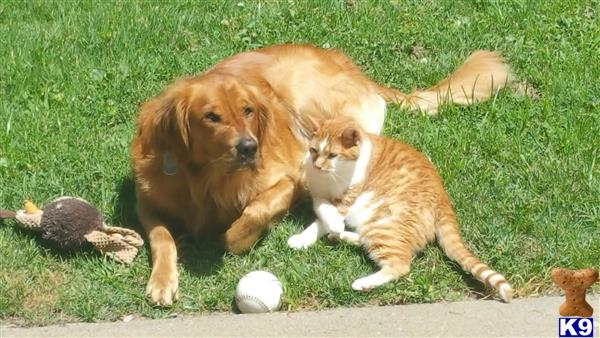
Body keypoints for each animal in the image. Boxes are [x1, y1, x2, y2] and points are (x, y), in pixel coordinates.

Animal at [288, 117, 512, 302]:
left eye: (333, 155)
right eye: (314, 151)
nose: (317, 166)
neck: (329, 178)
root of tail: (444, 200)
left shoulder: (345, 201)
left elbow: (324, 219)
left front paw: (322, 230)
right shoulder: (316, 194)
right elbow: (321, 209)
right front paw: (310, 236)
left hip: (382, 224)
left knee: (400, 265)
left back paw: (362, 281)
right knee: (368, 242)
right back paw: (341, 237)